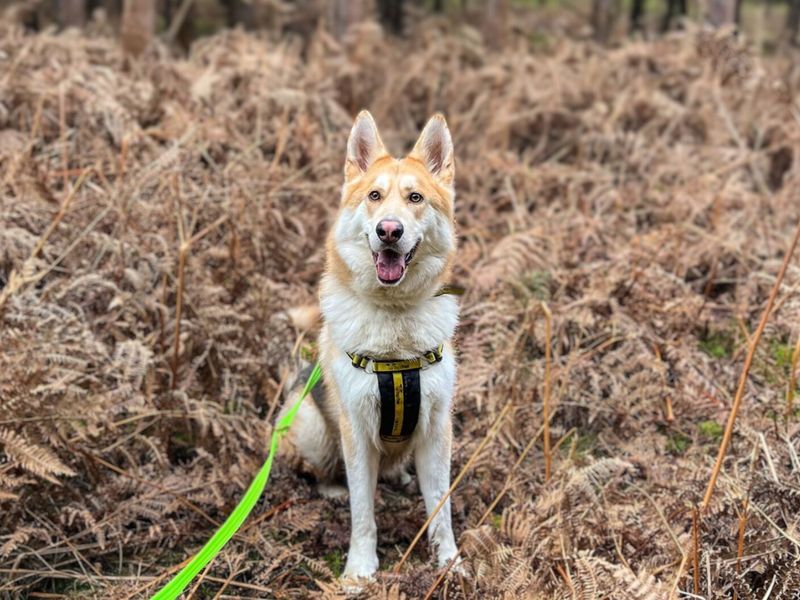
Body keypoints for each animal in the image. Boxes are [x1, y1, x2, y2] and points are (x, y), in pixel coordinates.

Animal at [278, 110, 460, 580]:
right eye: (375, 196)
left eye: (415, 198)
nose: (389, 230)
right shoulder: (356, 432)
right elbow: (363, 512)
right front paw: (360, 570)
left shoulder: (438, 430)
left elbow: (441, 509)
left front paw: (449, 563)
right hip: (309, 423)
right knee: (321, 471)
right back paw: (333, 489)